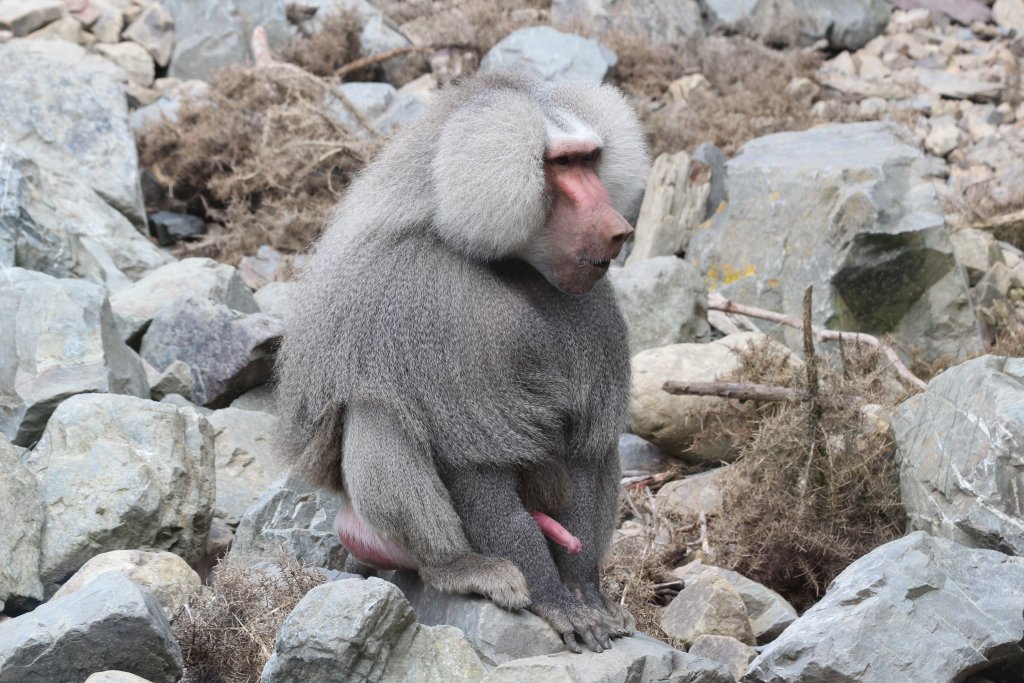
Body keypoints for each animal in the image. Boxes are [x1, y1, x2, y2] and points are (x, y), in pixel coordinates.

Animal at [275, 70, 649, 653]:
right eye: (561, 164)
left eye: (591, 159)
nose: (618, 230)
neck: (507, 263)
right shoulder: (442, 305)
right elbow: (477, 466)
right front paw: (556, 601)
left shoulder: (591, 307)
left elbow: (584, 450)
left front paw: (585, 594)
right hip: (378, 530)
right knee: (379, 414)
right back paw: (459, 567)